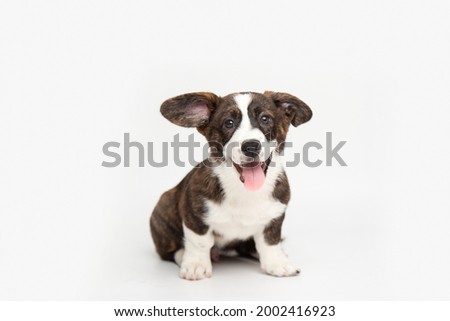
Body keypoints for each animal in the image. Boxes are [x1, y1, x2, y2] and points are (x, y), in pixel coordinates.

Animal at [149, 90, 312, 280]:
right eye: (229, 123)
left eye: (265, 119)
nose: (251, 146)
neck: (245, 191)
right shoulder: (194, 215)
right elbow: (199, 242)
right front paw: (196, 264)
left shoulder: (274, 216)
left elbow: (270, 241)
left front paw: (276, 262)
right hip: (165, 203)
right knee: (168, 251)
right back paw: (183, 256)